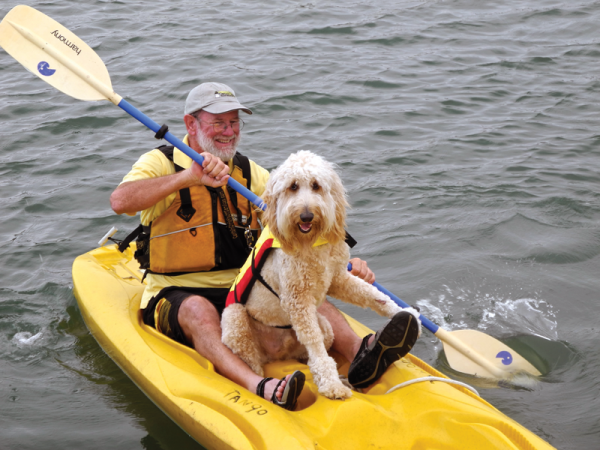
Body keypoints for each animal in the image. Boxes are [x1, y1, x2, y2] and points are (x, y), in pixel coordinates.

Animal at [221, 151, 422, 400]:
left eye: (316, 185)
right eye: (293, 186)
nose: (306, 216)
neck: (312, 242)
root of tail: (276, 355)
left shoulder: (337, 278)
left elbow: (370, 294)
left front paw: (405, 314)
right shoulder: (297, 299)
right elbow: (313, 342)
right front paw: (331, 385)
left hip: (325, 327)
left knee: (307, 354)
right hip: (235, 322)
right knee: (253, 365)